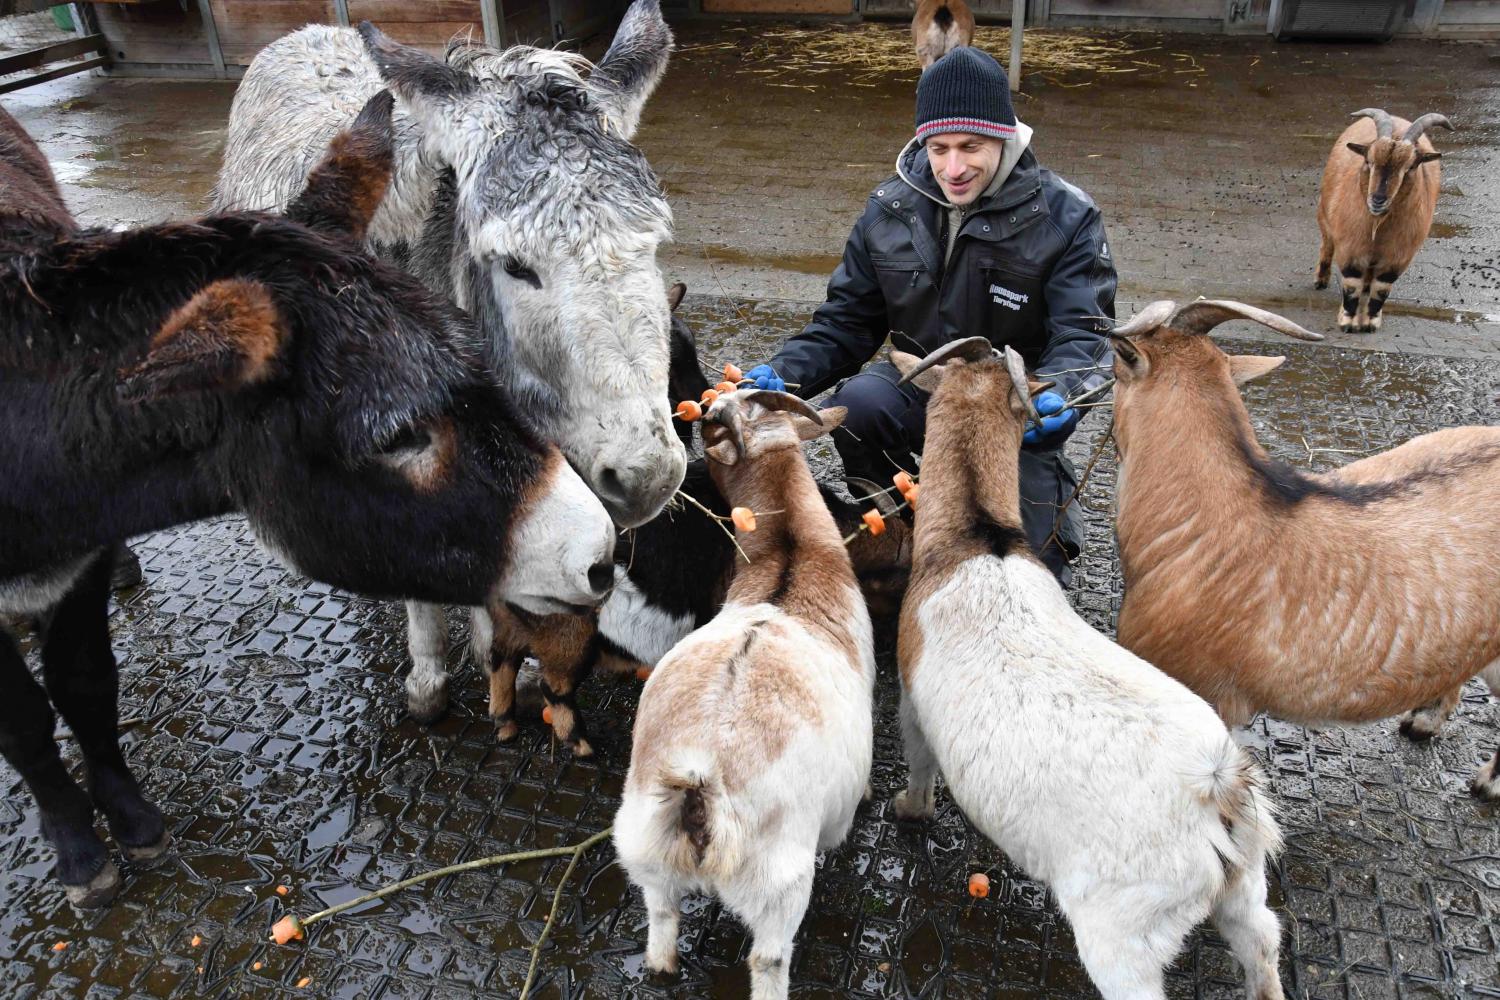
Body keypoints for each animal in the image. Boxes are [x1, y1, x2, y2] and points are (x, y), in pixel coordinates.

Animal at [609, 389, 876, 1000]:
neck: (791, 563)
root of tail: (700, 781)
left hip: (643, 851)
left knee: (661, 920)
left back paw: (664, 967)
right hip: (777, 883)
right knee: (768, 959)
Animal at [882, 341, 1284, 1000]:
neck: (975, 542)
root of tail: (1217, 789)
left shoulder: (915, 703)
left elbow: (918, 762)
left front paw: (907, 810)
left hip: (1125, 927)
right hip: (1243, 883)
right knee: (1261, 944)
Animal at [1314, 108, 1452, 335]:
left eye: (1410, 166)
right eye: (1369, 161)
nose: (1378, 200)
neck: (1377, 229)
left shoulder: (1398, 256)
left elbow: (1381, 290)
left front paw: (1370, 322)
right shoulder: (1349, 248)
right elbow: (1351, 285)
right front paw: (1347, 322)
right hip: (1324, 215)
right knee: (1327, 244)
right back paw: (1321, 280)